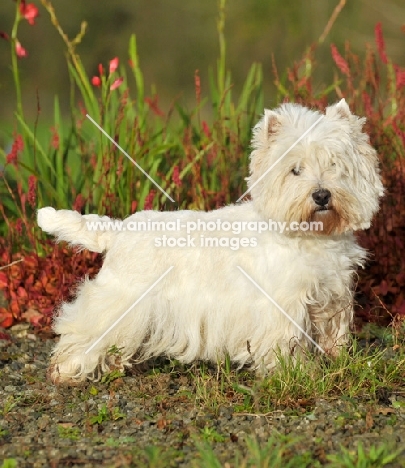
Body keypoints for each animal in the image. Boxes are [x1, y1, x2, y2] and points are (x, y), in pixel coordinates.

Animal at [37, 99, 382, 384]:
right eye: (294, 170)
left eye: (335, 165)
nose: (322, 195)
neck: (311, 236)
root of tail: (119, 231)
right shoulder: (282, 304)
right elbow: (286, 341)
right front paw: (295, 373)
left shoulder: (332, 296)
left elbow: (333, 331)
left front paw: (335, 359)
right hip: (120, 300)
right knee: (82, 328)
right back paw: (66, 371)